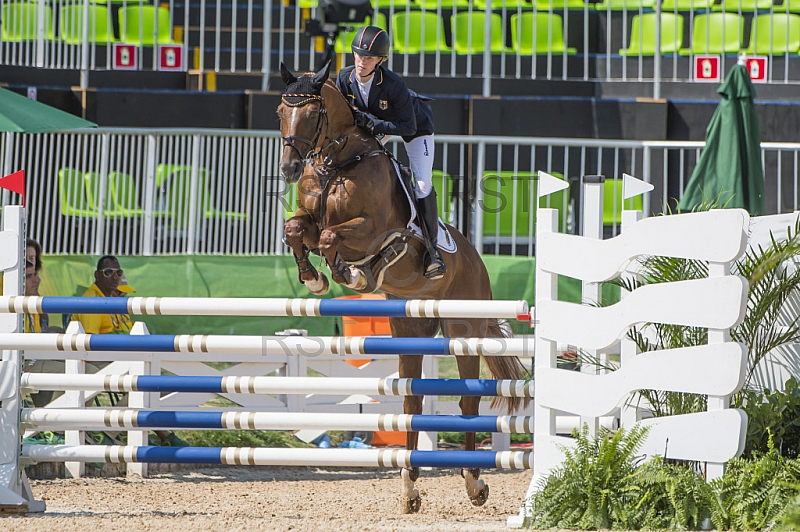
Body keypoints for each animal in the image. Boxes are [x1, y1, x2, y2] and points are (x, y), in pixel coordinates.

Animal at [278, 61, 528, 512]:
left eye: (310, 113)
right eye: (280, 112)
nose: (288, 169)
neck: (337, 163)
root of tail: (479, 265)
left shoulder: (369, 229)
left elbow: (333, 237)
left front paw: (349, 273)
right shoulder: (309, 219)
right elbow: (296, 229)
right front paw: (314, 276)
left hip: (463, 330)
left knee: (468, 399)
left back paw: (474, 483)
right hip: (412, 328)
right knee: (412, 400)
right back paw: (410, 487)